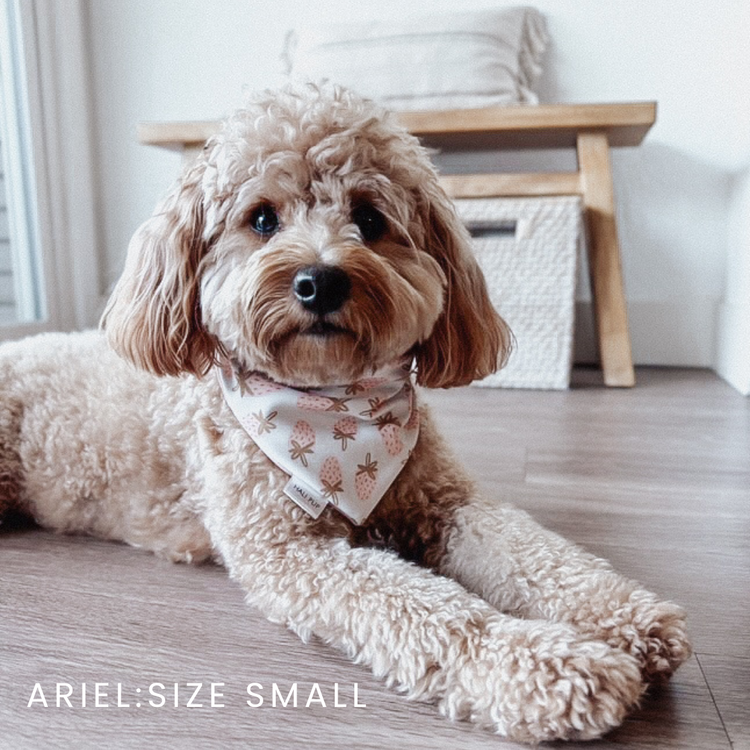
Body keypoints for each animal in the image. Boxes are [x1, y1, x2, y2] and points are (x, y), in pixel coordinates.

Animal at [0, 85, 692, 744]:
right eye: (261, 218)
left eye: (368, 216)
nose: (320, 281)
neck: (334, 410)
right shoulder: (290, 551)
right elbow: (428, 608)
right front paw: (551, 668)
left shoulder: (447, 502)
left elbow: (533, 552)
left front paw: (626, 615)